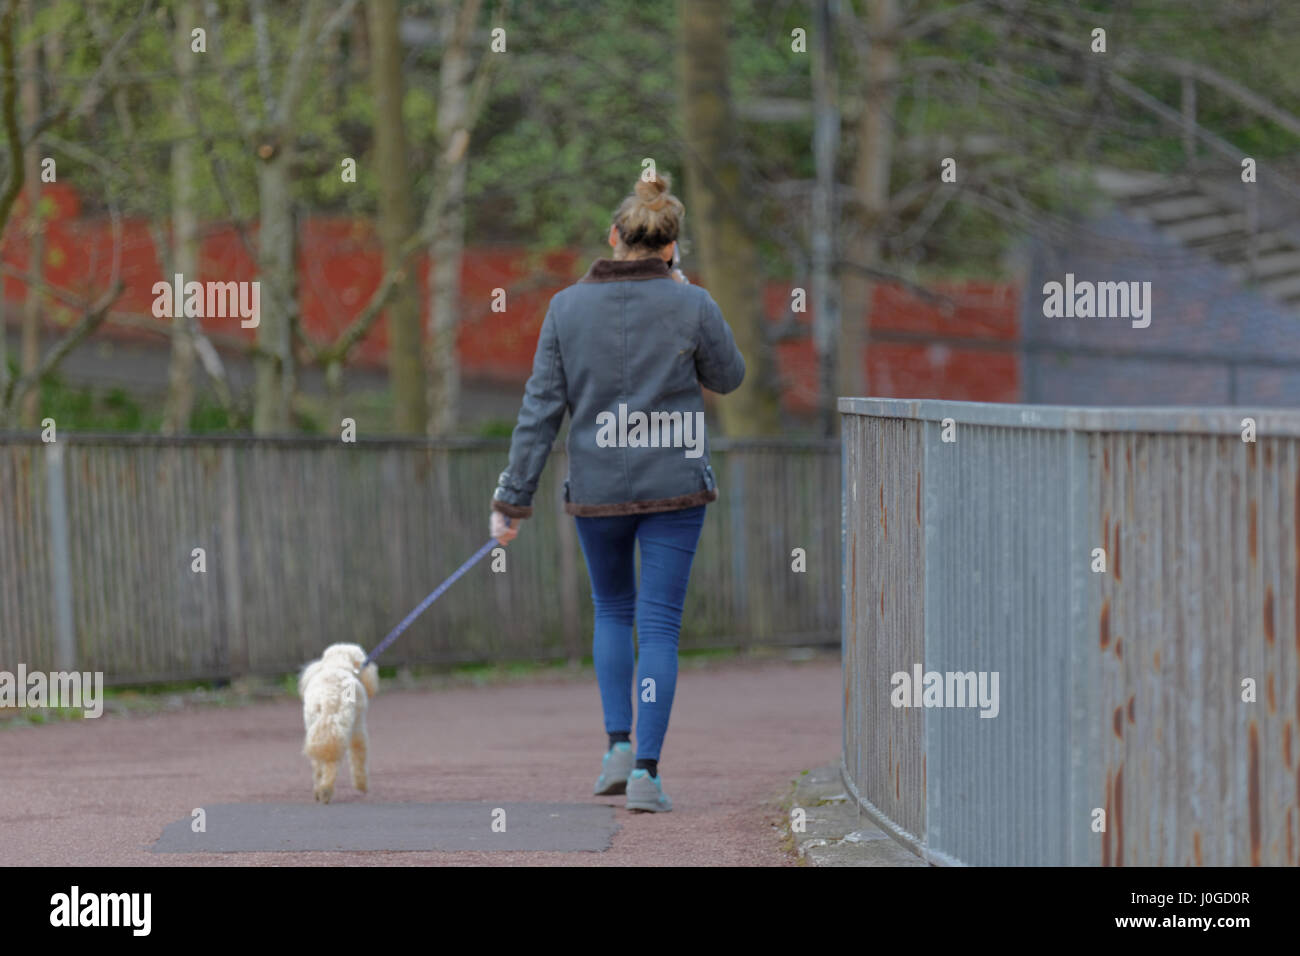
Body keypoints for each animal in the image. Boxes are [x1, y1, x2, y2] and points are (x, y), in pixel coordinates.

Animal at [295, 642, 377, 806]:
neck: (338, 665)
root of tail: (329, 698)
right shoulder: (358, 727)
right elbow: (359, 756)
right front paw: (362, 785)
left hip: (316, 728)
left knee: (318, 765)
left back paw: (318, 791)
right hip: (341, 729)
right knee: (331, 764)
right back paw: (326, 790)